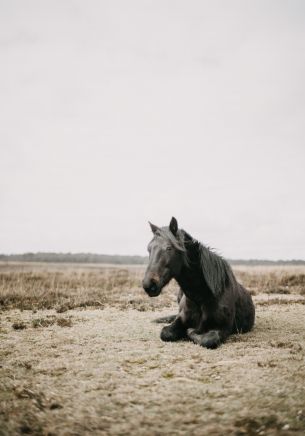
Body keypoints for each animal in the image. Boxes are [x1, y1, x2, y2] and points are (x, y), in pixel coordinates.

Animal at [142, 217, 254, 348]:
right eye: (149, 249)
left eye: (169, 248)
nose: (149, 284)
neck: (203, 296)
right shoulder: (181, 320)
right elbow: (165, 333)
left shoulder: (223, 328)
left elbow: (208, 339)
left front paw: (191, 331)